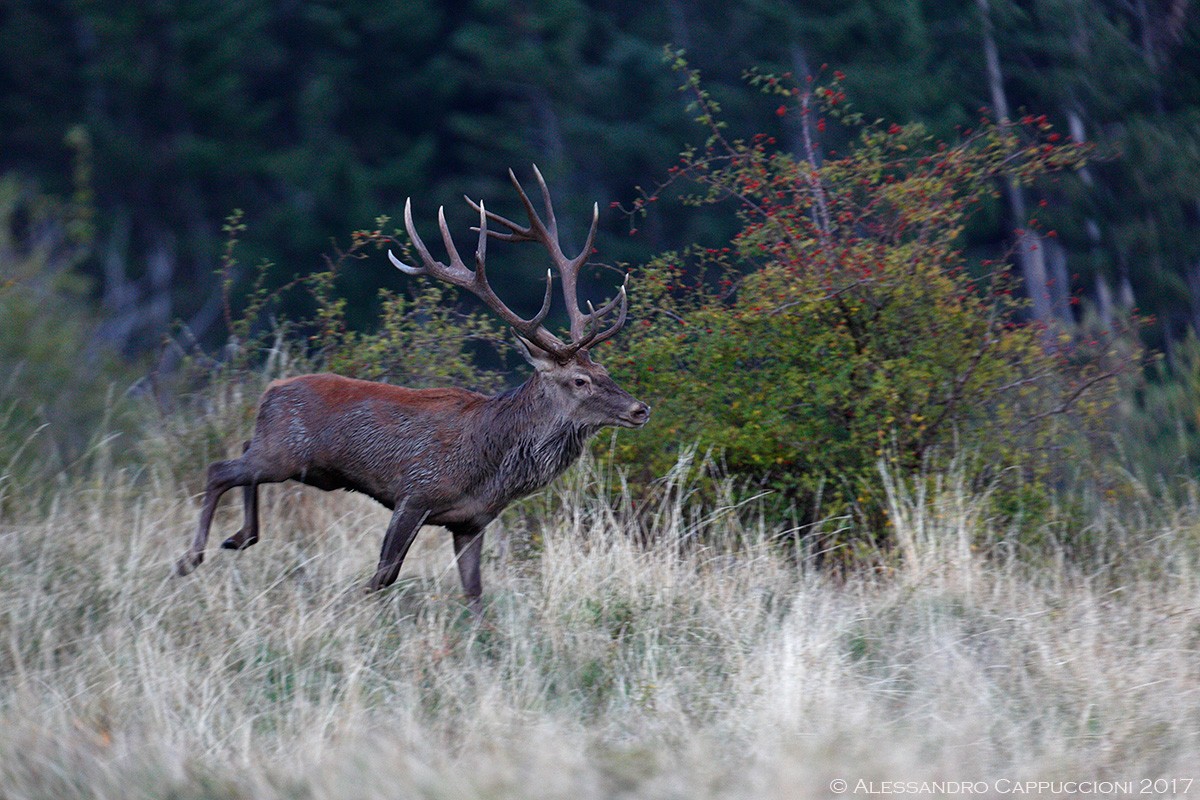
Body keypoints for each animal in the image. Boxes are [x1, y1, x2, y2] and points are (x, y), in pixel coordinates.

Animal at [171, 165, 648, 609]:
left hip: (283, 454)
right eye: (580, 380)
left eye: (605, 370)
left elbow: (474, 593)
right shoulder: (415, 492)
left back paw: (238, 537)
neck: (489, 466)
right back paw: (190, 558)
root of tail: (271, 389)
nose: (640, 408)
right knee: (219, 469)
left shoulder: (471, 522)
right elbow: (384, 575)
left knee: (240, 459)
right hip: (285, 450)